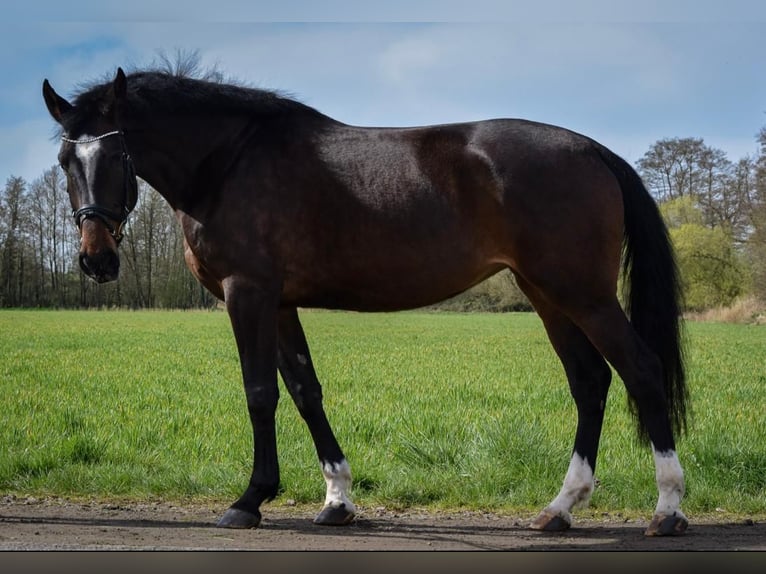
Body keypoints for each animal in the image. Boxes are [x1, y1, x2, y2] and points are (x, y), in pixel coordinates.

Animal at [40, 68, 688, 540]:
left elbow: (260, 393)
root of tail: (593, 150)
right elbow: (305, 390)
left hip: (582, 293)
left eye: (117, 156)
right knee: (590, 381)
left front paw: (250, 499)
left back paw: (667, 509)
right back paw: (561, 507)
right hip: (547, 294)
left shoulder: (247, 292)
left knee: (641, 369)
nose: (96, 260)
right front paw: (337, 499)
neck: (229, 163)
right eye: (67, 162)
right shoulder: (280, 302)